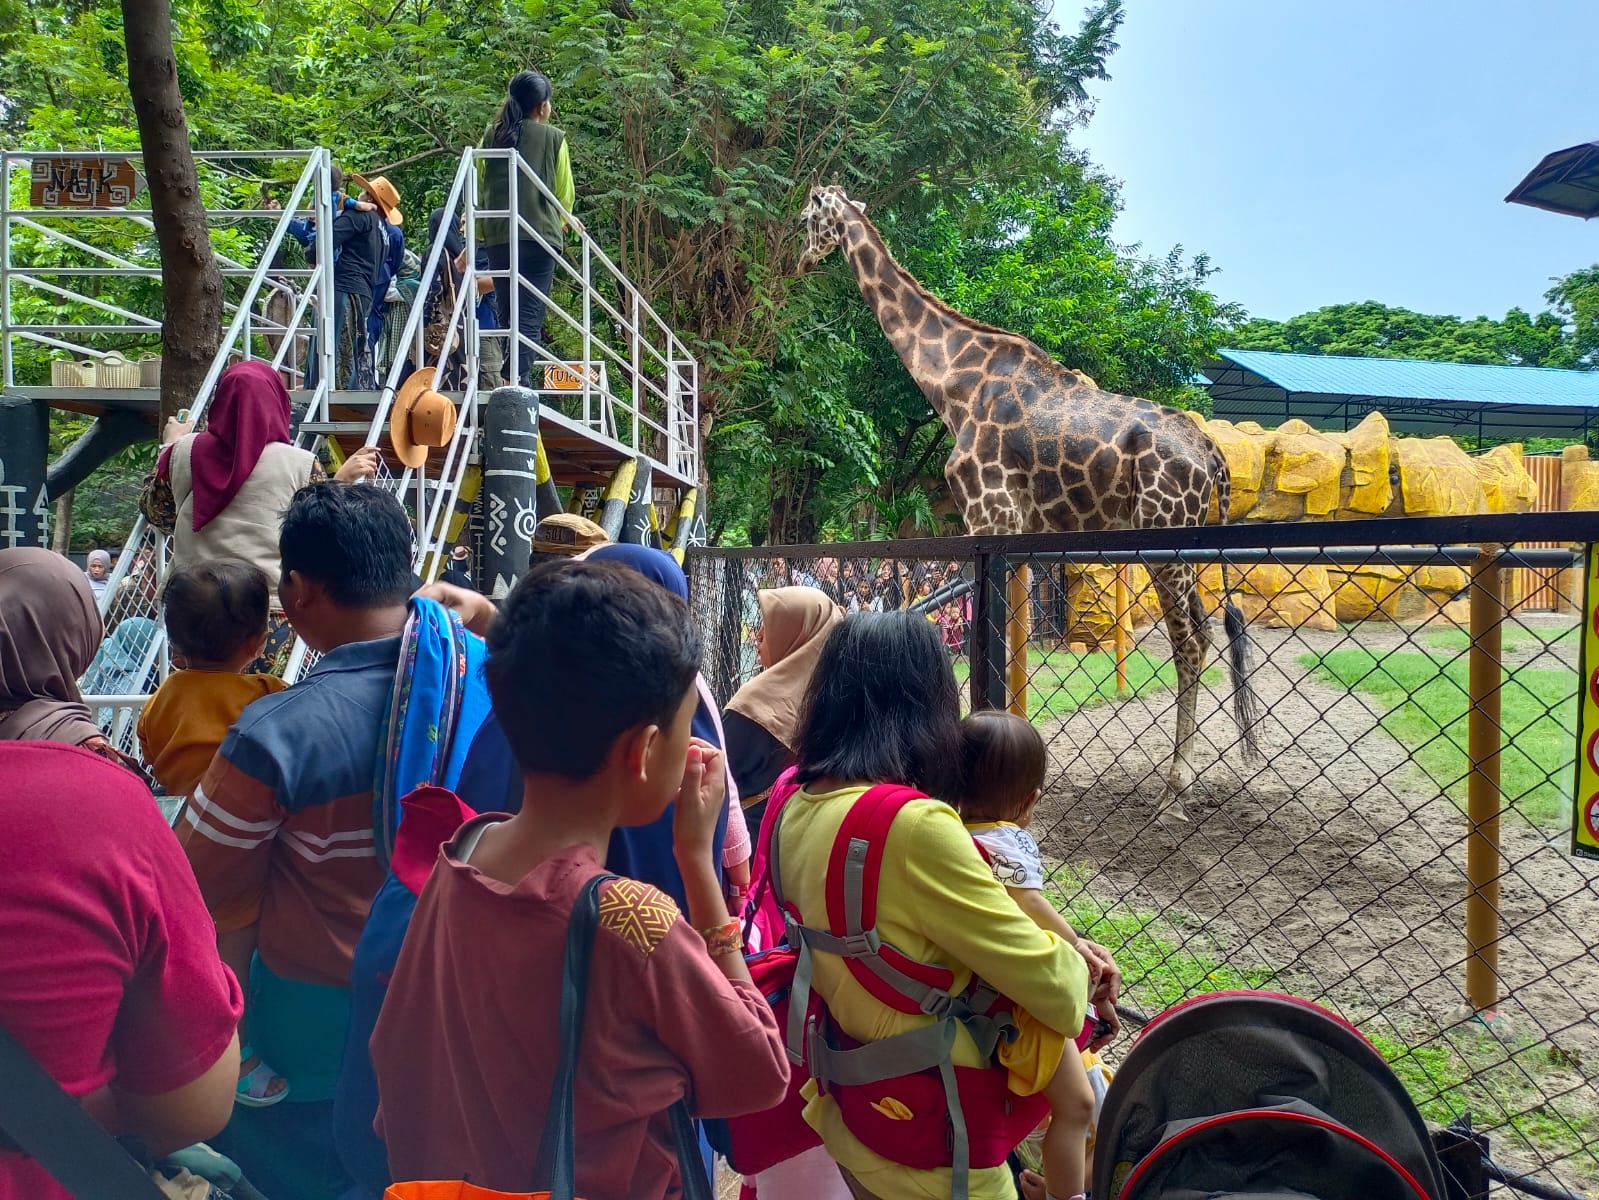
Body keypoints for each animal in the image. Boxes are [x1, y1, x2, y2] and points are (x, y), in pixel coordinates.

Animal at [799, 185, 1260, 819]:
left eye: (805, 219)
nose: (798, 263)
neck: (952, 383)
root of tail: (1212, 452)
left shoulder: (985, 512)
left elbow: (984, 643)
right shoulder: (1012, 526)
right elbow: (1012, 646)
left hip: (1163, 534)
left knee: (1187, 641)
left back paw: (1174, 791)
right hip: (1182, 541)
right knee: (1205, 631)